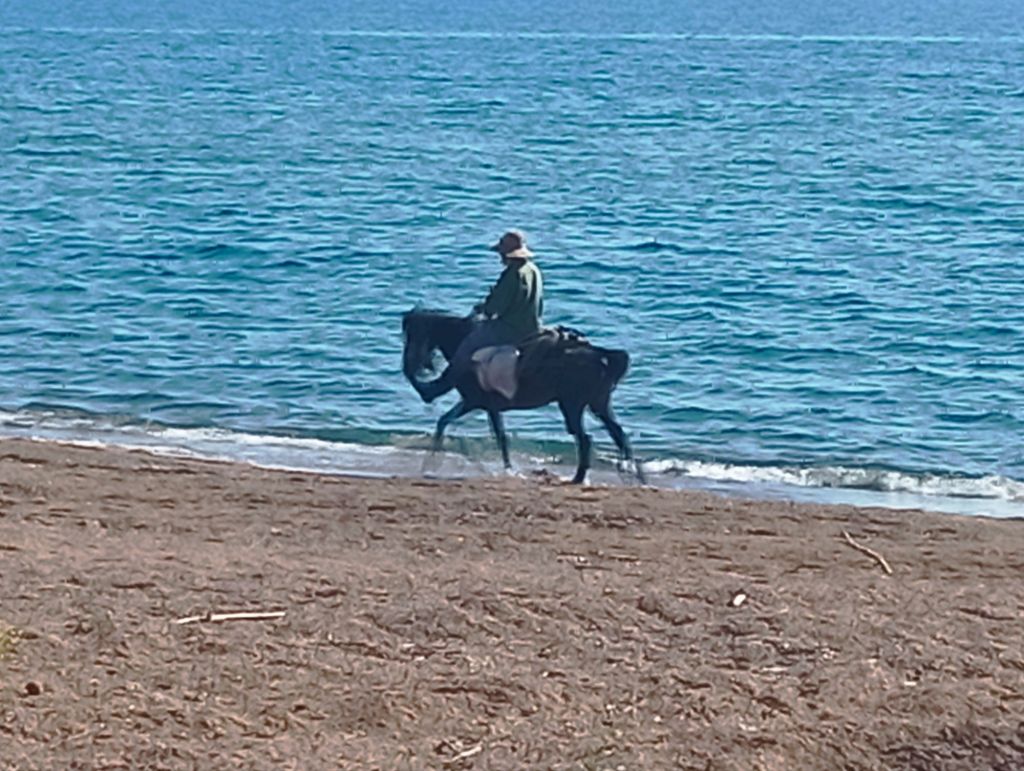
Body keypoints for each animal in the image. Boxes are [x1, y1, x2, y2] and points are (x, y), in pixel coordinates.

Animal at [402, 308, 645, 484]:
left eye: (413, 336)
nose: (408, 368)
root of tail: (601, 355)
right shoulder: (483, 405)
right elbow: (453, 424)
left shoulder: (475, 402)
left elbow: (495, 436)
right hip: (598, 405)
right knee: (618, 435)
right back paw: (635, 476)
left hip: (572, 406)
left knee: (585, 439)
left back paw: (579, 478)